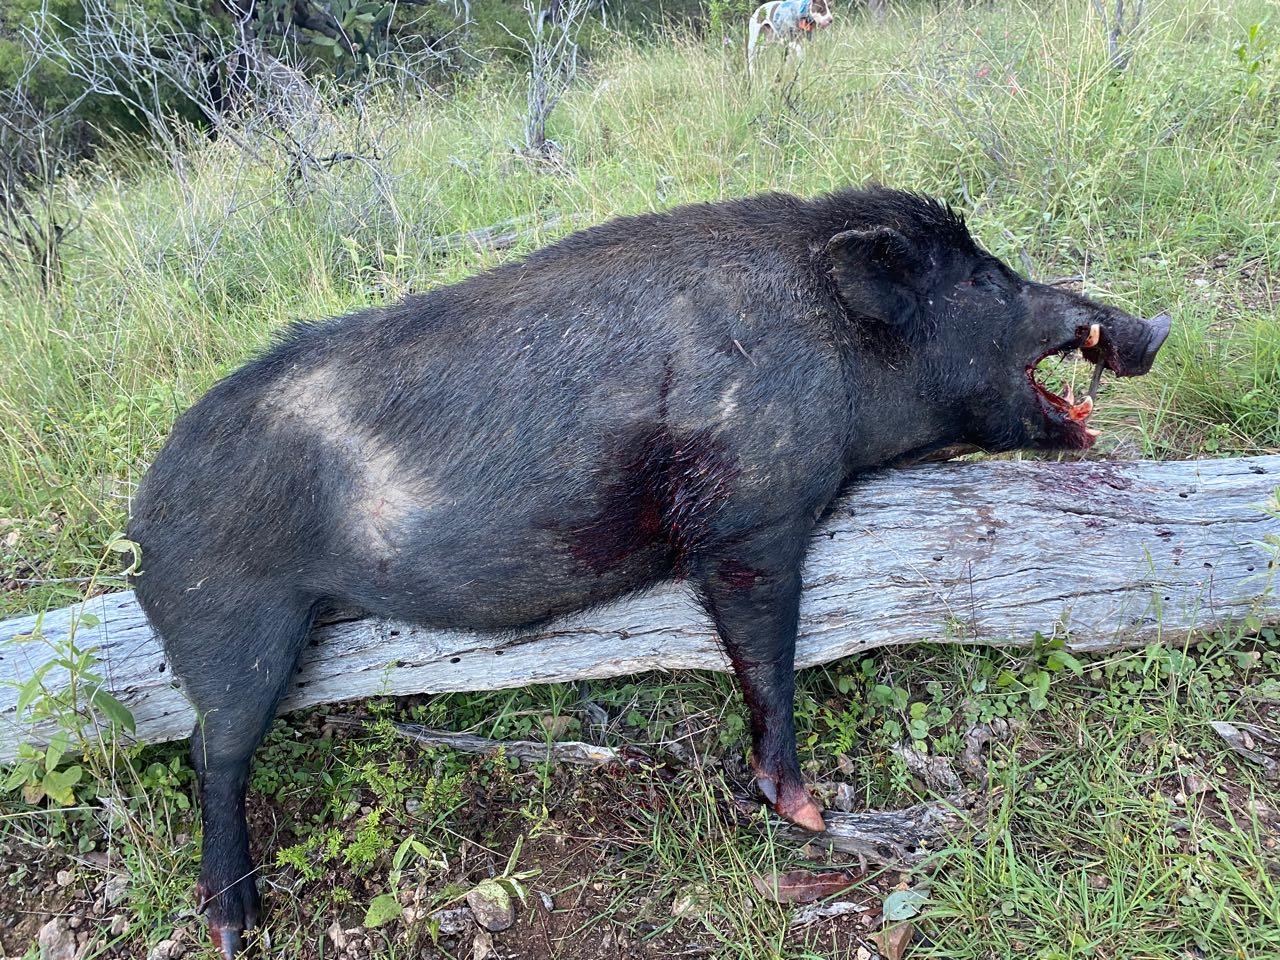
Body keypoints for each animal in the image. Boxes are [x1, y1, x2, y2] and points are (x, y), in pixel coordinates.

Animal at [127, 187, 1170, 956]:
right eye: (988, 281)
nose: (1152, 324)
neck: (837, 347)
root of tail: (138, 518)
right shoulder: (748, 520)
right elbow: (767, 660)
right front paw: (811, 807)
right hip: (232, 623)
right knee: (212, 754)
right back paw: (234, 927)